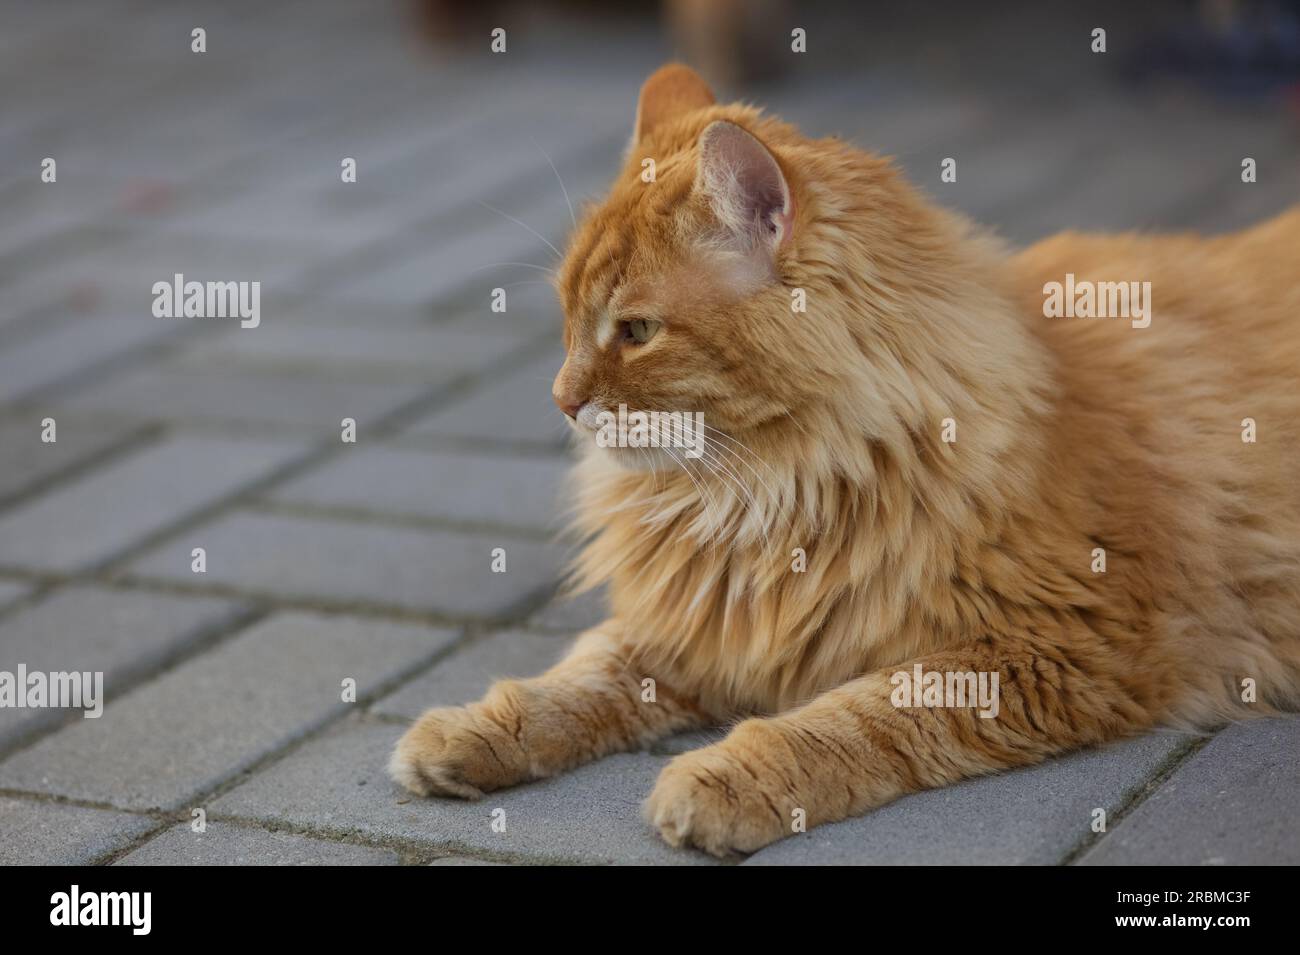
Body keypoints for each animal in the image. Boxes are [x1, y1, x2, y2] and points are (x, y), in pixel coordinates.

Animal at [390, 67, 1300, 857]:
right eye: (569, 320)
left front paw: (722, 779)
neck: (776, 487)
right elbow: (577, 677)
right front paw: (467, 730)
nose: (561, 399)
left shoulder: (1052, 646)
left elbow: (851, 717)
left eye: (637, 332)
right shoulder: (701, 623)